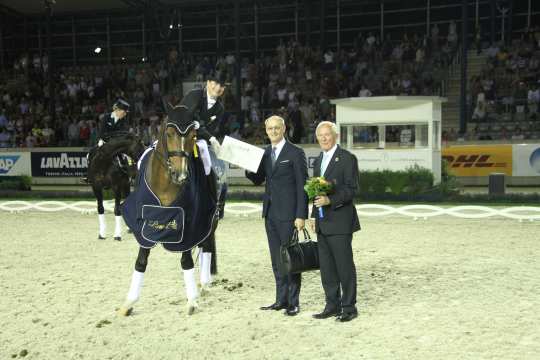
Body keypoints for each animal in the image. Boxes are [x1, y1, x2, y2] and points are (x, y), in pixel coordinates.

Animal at [118, 103, 219, 316]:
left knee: (206, 245)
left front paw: (192, 301)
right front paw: (128, 303)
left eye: (193, 135)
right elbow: (141, 260)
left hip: (210, 218)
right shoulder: (145, 222)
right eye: (169, 133)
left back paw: (204, 284)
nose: (180, 175)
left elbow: (186, 261)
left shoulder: (188, 223)